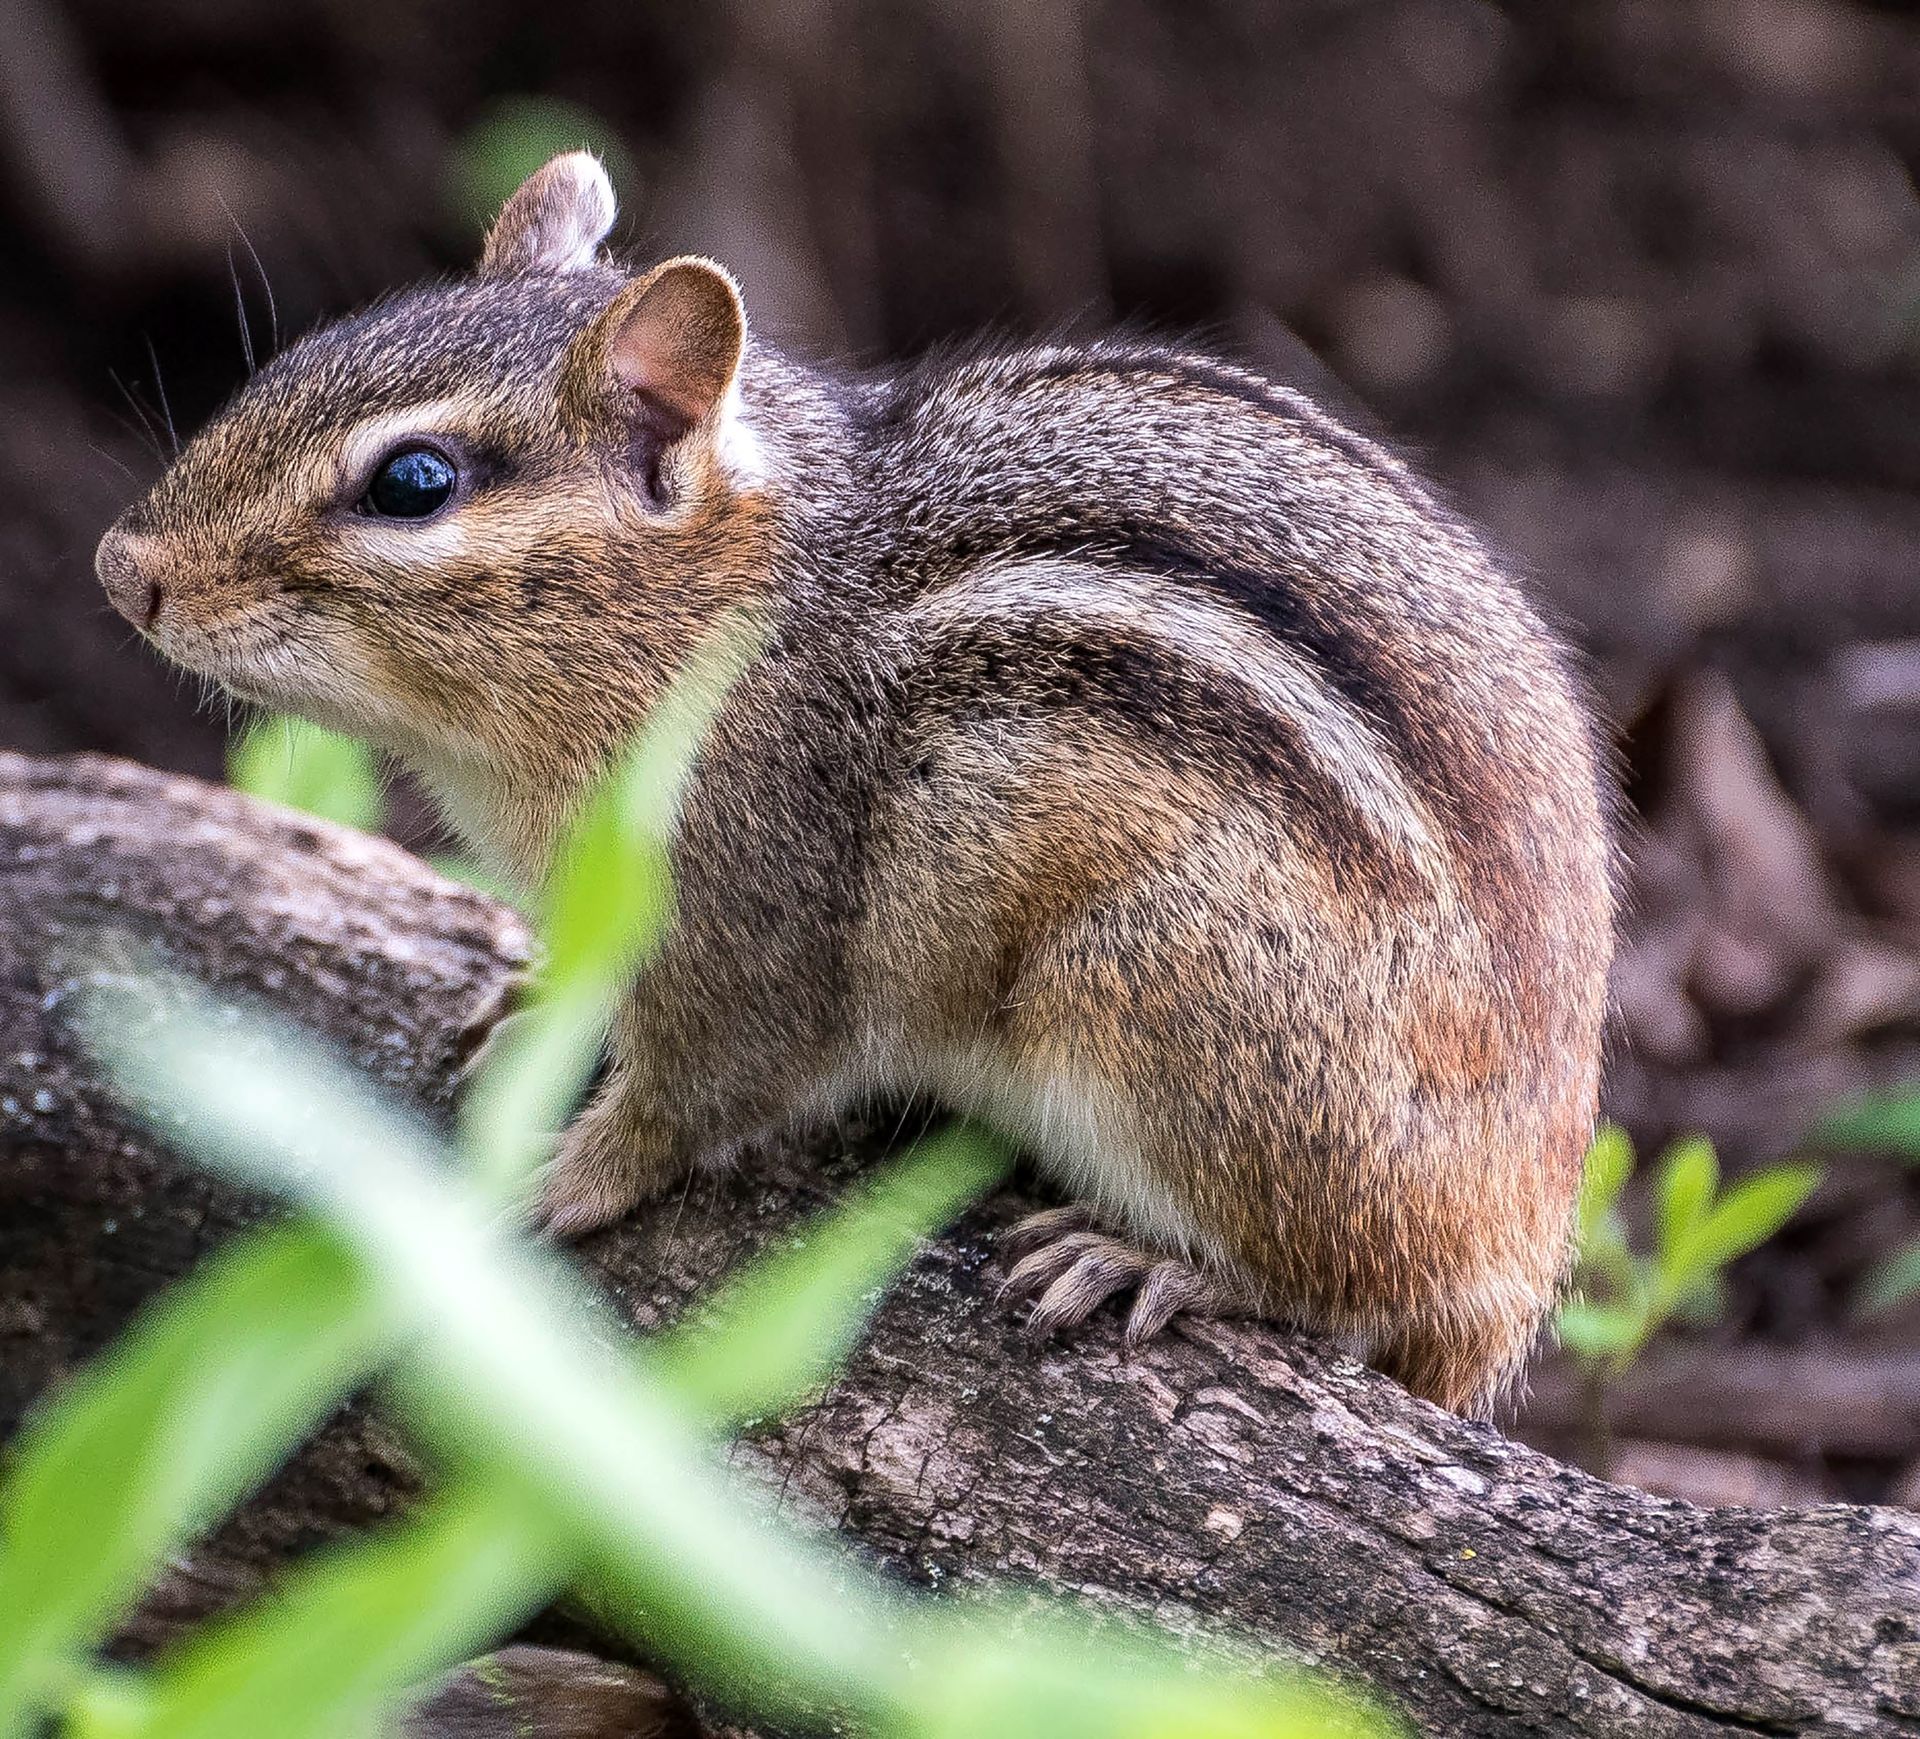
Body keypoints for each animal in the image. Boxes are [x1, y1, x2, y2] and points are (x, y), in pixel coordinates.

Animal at [96, 153, 1613, 1415]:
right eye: (302, 355)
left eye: (413, 481)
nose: (122, 567)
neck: (720, 626)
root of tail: (1518, 1265)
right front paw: (528, 1005)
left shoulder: (752, 913)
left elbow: (700, 1093)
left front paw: (564, 1171)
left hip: (1166, 995)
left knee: (1349, 1288)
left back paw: (1155, 1262)